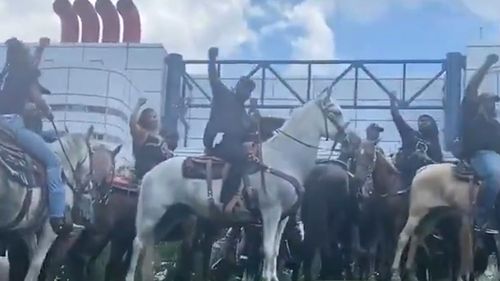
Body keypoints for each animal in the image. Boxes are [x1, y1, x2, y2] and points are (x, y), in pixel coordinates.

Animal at [0, 126, 95, 280]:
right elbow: (36, 263)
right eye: (93, 153)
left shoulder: (27, 229)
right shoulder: (50, 230)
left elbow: (33, 257)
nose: (90, 187)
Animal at [125, 93, 348, 280]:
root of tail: (150, 173)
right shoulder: (270, 212)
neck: (285, 158)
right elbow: (267, 250)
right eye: (335, 112)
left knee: (148, 244)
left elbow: (275, 252)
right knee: (137, 243)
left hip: (171, 216)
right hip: (151, 214)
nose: (347, 137)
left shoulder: (283, 218)